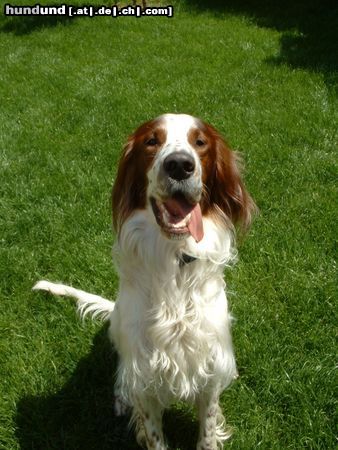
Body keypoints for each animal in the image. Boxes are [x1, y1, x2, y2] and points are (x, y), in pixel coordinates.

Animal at [35, 114, 256, 448]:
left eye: (200, 142)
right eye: (152, 141)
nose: (179, 165)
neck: (173, 261)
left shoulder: (209, 367)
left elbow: (207, 427)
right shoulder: (145, 377)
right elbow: (152, 432)